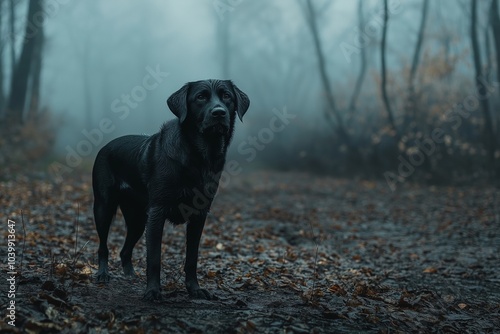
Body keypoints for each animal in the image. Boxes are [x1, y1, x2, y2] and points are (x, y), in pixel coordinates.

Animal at [92, 80, 248, 300]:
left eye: (227, 96)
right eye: (200, 97)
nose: (219, 112)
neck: (200, 155)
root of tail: (105, 146)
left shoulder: (199, 215)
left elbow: (192, 257)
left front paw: (194, 289)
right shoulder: (157, 213)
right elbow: (154, 258)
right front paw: (152, 291)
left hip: (138, 219)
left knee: (124, 250)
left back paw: (130, 275)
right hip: (104, 208)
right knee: (103, 246)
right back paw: (103, 274)